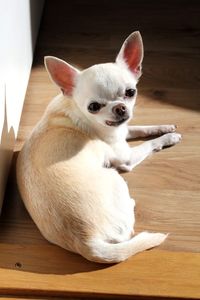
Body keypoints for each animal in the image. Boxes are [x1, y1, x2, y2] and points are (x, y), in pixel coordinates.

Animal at [16, 31, 181, 264]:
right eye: (93, 107)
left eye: (131, 92)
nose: (120, 108)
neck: (73, 108)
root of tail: (87, 243)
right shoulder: (126, 156)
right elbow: (149, 143)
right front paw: (168, 138)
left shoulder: (122, 131)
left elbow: (139, 128)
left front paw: (164, 127)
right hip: (114, 178)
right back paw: (131, 204)